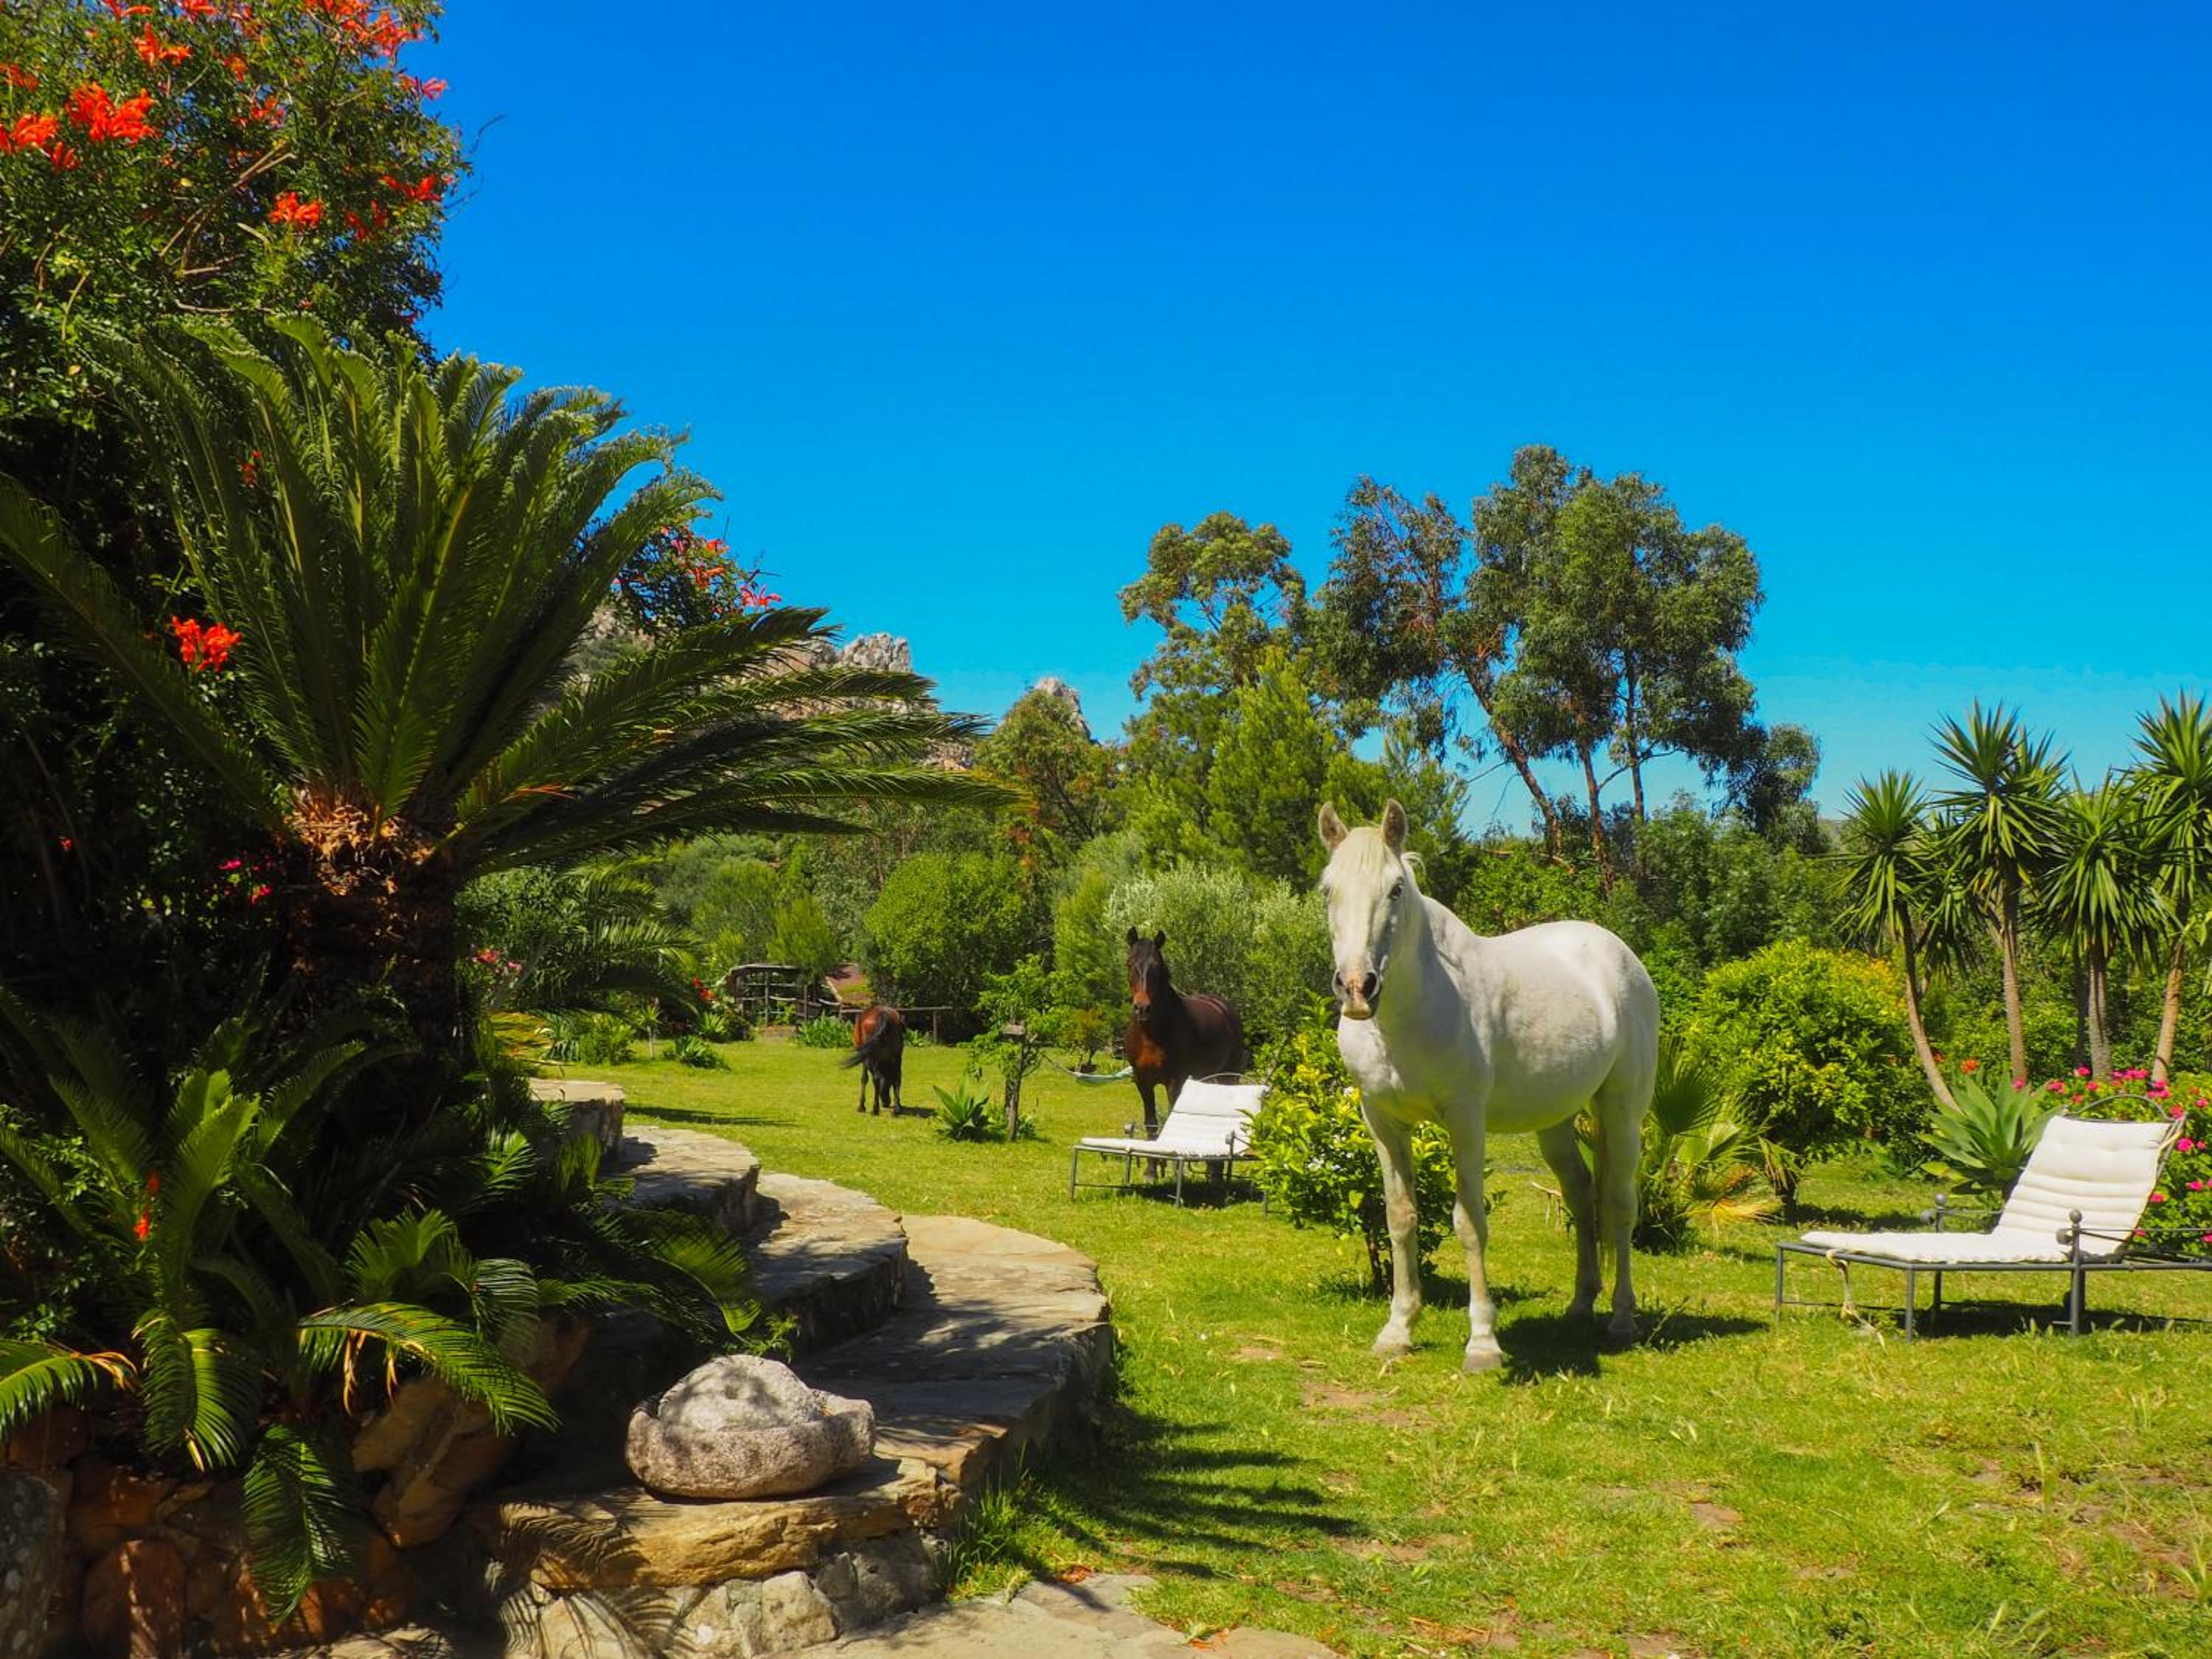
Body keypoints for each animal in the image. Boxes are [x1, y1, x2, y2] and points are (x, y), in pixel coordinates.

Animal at [841, 1005, 905, 1115]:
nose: (886, 1103)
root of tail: (883, 1015)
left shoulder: (865, 1058)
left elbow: (864, 1079)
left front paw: (861, 1106)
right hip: (897, 1054)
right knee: (897, 1076)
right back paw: (896, 1108)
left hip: (872, 1056)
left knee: (876, 1078)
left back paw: (876, 1108)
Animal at [1124, 928, 1247, 1137]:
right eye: (1130, 963)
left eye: (1157, 966)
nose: (1142, 1008)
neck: (1150, 1035)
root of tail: (1223, 1007)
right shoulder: (1143, 1082)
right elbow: (1152, 1124)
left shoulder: (1175, 1082)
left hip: (1228, 1077)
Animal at [1318, 799, 1658, 1373]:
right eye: (1327, 890)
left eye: (1396, 889)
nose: (1358, 987)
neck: (1415, 1010)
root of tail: (1621, 956)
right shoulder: (1383, 1120)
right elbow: (1400, 1219)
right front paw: (1397, 1331)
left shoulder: (1465, 1121)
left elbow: (1469, 1222)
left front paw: (1482, 1343)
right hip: (1555, 1123)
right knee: (1580, 1194)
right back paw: (1580, 1305)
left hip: (1621, 1112)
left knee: (1618, 1203)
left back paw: (1621, 1320)